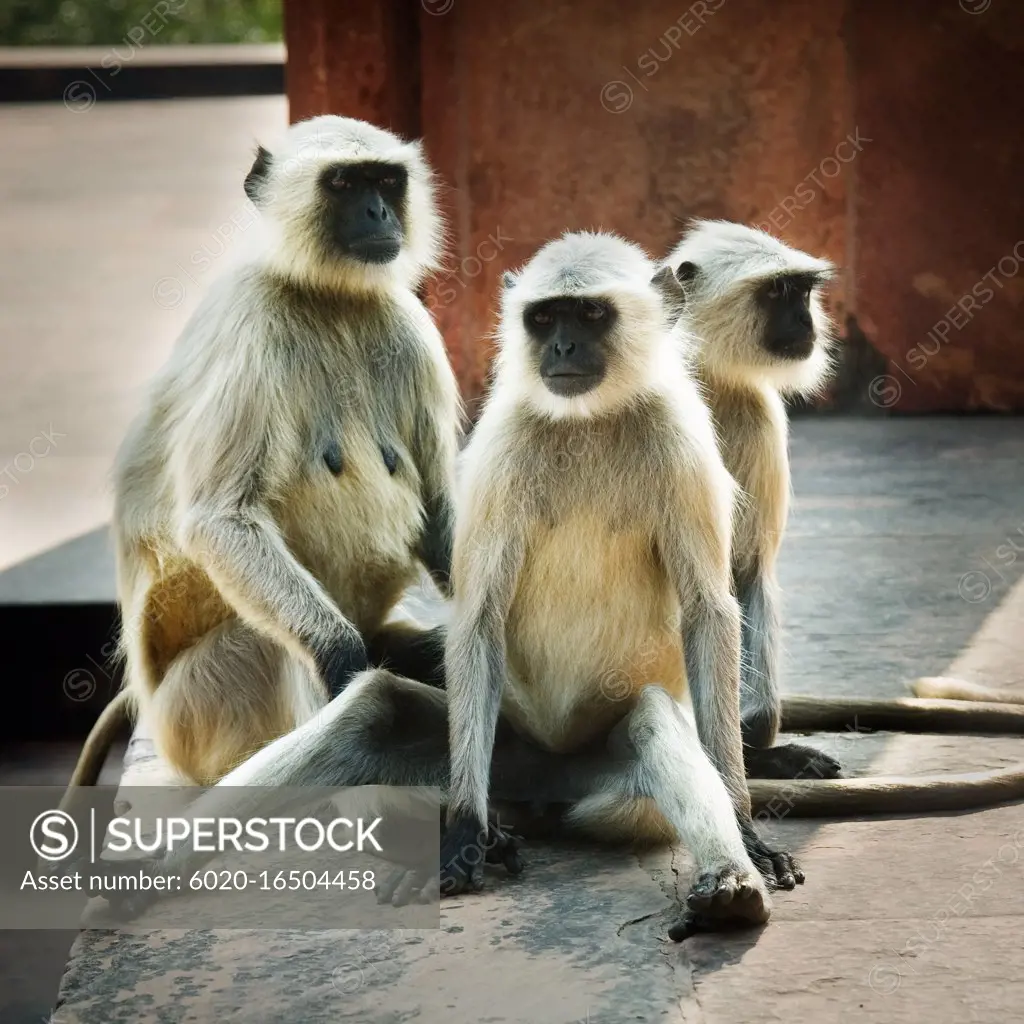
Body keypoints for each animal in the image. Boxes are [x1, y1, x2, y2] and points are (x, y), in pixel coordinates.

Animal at [66, 116, 458, 790]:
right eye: (344, 183)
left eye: (385, 181)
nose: (379, 212)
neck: (328, 296)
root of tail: (149, 704)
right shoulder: (253, 324)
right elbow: (219, 520)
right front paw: (348, 671)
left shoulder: (409, 329)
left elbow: (435, 511)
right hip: (195, 712)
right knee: (272, 650)